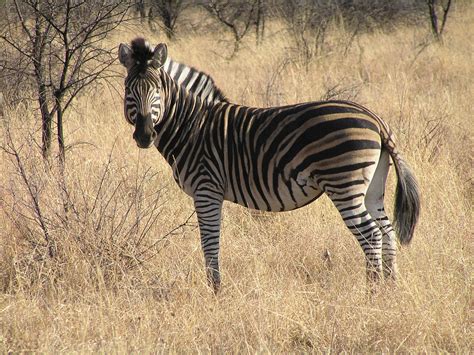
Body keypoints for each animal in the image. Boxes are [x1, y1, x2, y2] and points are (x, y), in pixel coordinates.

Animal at [117, 39, 418, 294]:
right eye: (129, 90)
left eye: (157, 90)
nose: (144, 135)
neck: (190, 124)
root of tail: (375, 119)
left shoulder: (206, 190)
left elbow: (209, 243)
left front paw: (216, 291)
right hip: (372, 186)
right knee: (387, 231)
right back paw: (390, 291)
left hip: (344, 184)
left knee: (371, 235)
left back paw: (372, 293)